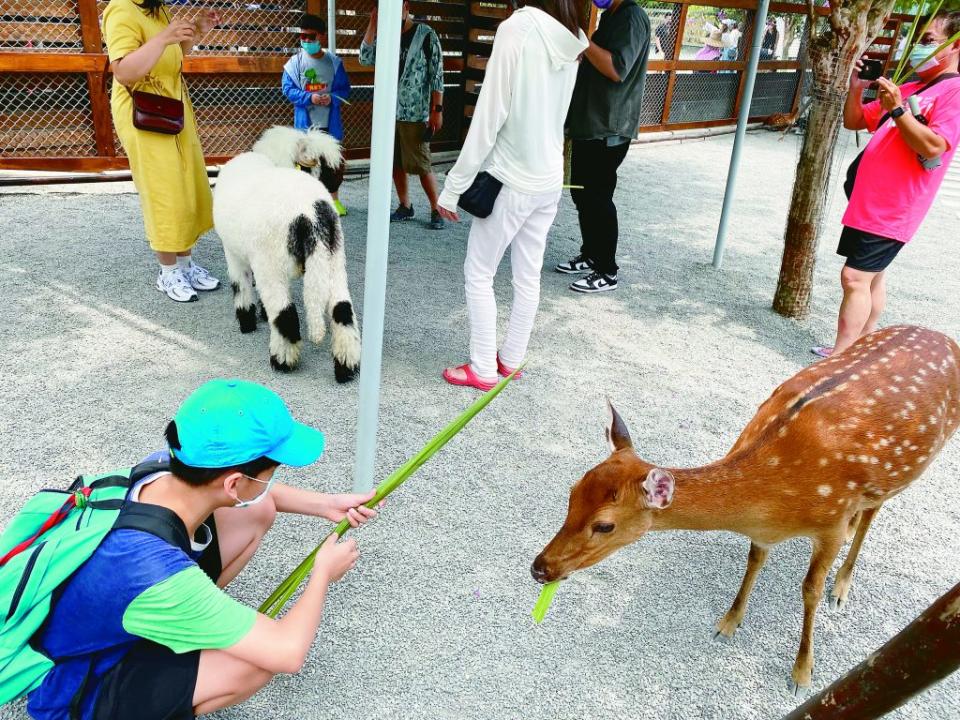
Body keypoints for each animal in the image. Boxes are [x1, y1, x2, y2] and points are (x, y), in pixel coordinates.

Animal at [214, 127, 360, 382]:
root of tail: (310, 213)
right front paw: (261, 314)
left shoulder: (234, 254)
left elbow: (241, 287)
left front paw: (247, 322)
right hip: (334, 259)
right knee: (343, 311)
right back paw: (346, 368)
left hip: (269, 263)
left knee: (286, 316)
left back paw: (282, 361)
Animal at [532, 326, 960, 692]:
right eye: (572, 492)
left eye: (604, 525)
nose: (540, 568)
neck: (774, 498)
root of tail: (945, 338)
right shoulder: (766, 531)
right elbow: (754, 560)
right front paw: (728, 622)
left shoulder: (831, 522)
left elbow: (809, 590)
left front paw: (802, 672)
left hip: (909, 470)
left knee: (874, 513)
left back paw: (842, 586)